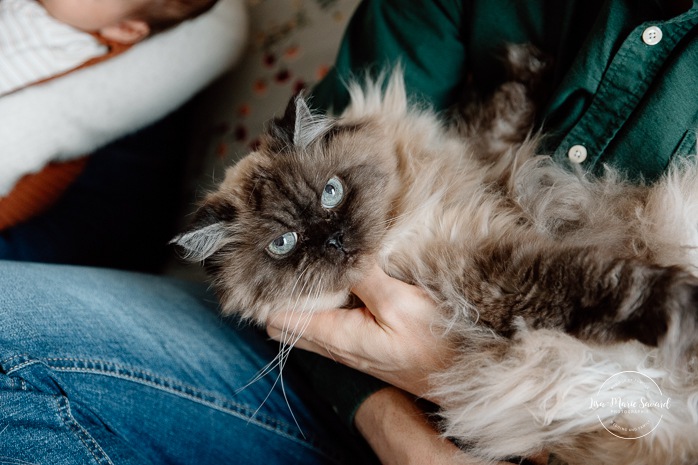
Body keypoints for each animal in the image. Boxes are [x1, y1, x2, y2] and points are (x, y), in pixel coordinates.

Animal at [173, 48, 696, 464]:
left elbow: (493, 117)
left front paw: (525, 64)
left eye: (331, 193)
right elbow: (608, 283)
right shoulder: (486, 272)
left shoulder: (477, 169)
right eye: (283, 244)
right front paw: (680, 303)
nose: (333, 239)